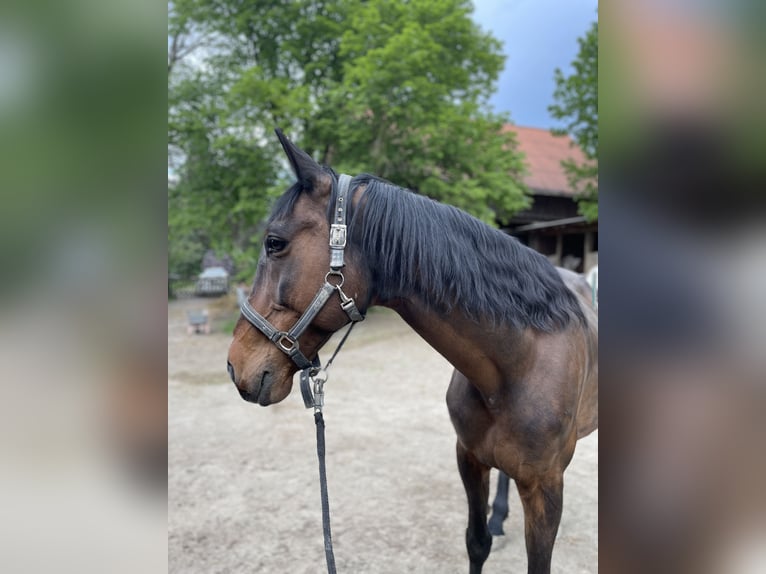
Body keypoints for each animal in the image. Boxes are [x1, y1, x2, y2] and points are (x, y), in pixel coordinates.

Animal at [228, 132, 600, 574]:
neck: (518, 367)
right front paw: (489, 527)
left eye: (274, 243)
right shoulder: (469, 459)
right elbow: (477, 542)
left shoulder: (546, 486)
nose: (235, 366)